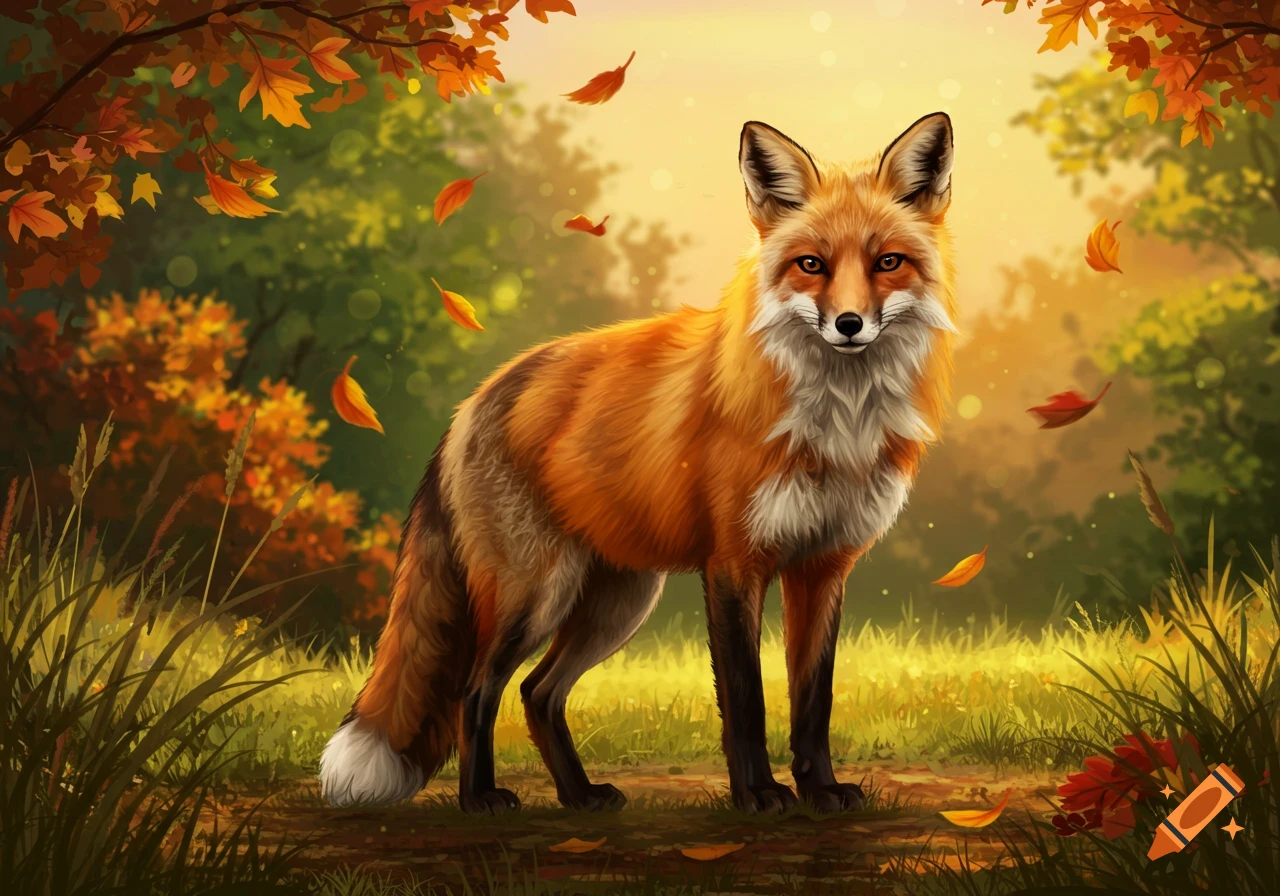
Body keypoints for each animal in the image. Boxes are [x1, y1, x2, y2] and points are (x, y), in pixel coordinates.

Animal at [320, 112, 958, 816]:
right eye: (810, 265)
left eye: (887, 262)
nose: (848, 324)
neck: (836, 424)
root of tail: (476, 398)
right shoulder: (734, 564)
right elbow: (747, 700)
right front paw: (758, 795)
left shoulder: (822, 567)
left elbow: (812, 702)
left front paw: (819, 790)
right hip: (535, 594)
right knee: (477, 687)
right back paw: (479, 799)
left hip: (616, 603)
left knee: (538, 693)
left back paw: (579, 795)